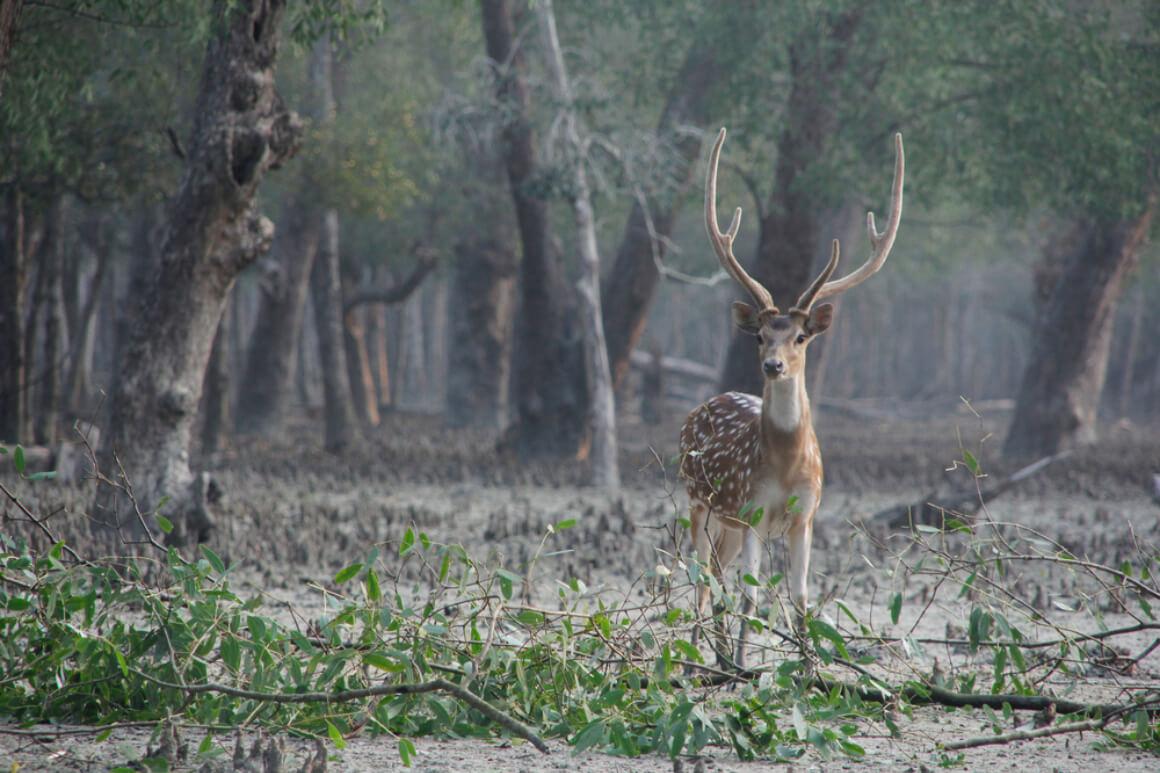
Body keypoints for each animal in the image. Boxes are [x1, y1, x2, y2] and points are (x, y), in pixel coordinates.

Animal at [677, 127, 904, 663]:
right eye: (760, 336)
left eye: (801, 337)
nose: (773, 365)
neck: (784, 466)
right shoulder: (754, 511)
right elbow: (752, 595)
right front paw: (745, 665)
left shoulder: (806, 517)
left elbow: (801, 596)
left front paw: (807, 666)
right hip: (697, 502)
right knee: (701, 578)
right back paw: (700, 657)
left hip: (726, 522)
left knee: (716, 574)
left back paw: (717, 654)